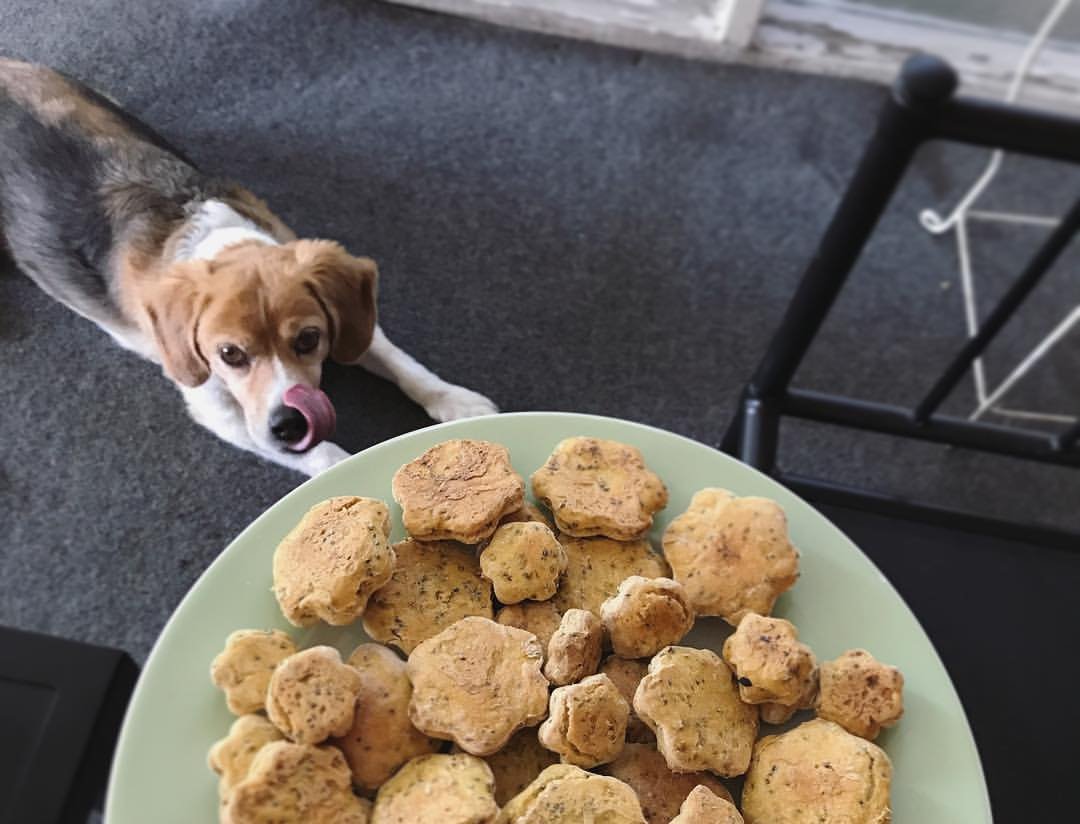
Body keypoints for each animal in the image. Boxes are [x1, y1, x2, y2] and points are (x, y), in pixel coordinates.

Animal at [0, 59, 496, 477]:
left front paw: (458, 402)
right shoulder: (222, 412)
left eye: (308, 339)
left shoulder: (354, 322)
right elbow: (326, 456)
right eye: (229, 354)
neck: (218, 241)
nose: (289, 425)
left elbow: (405, 366)